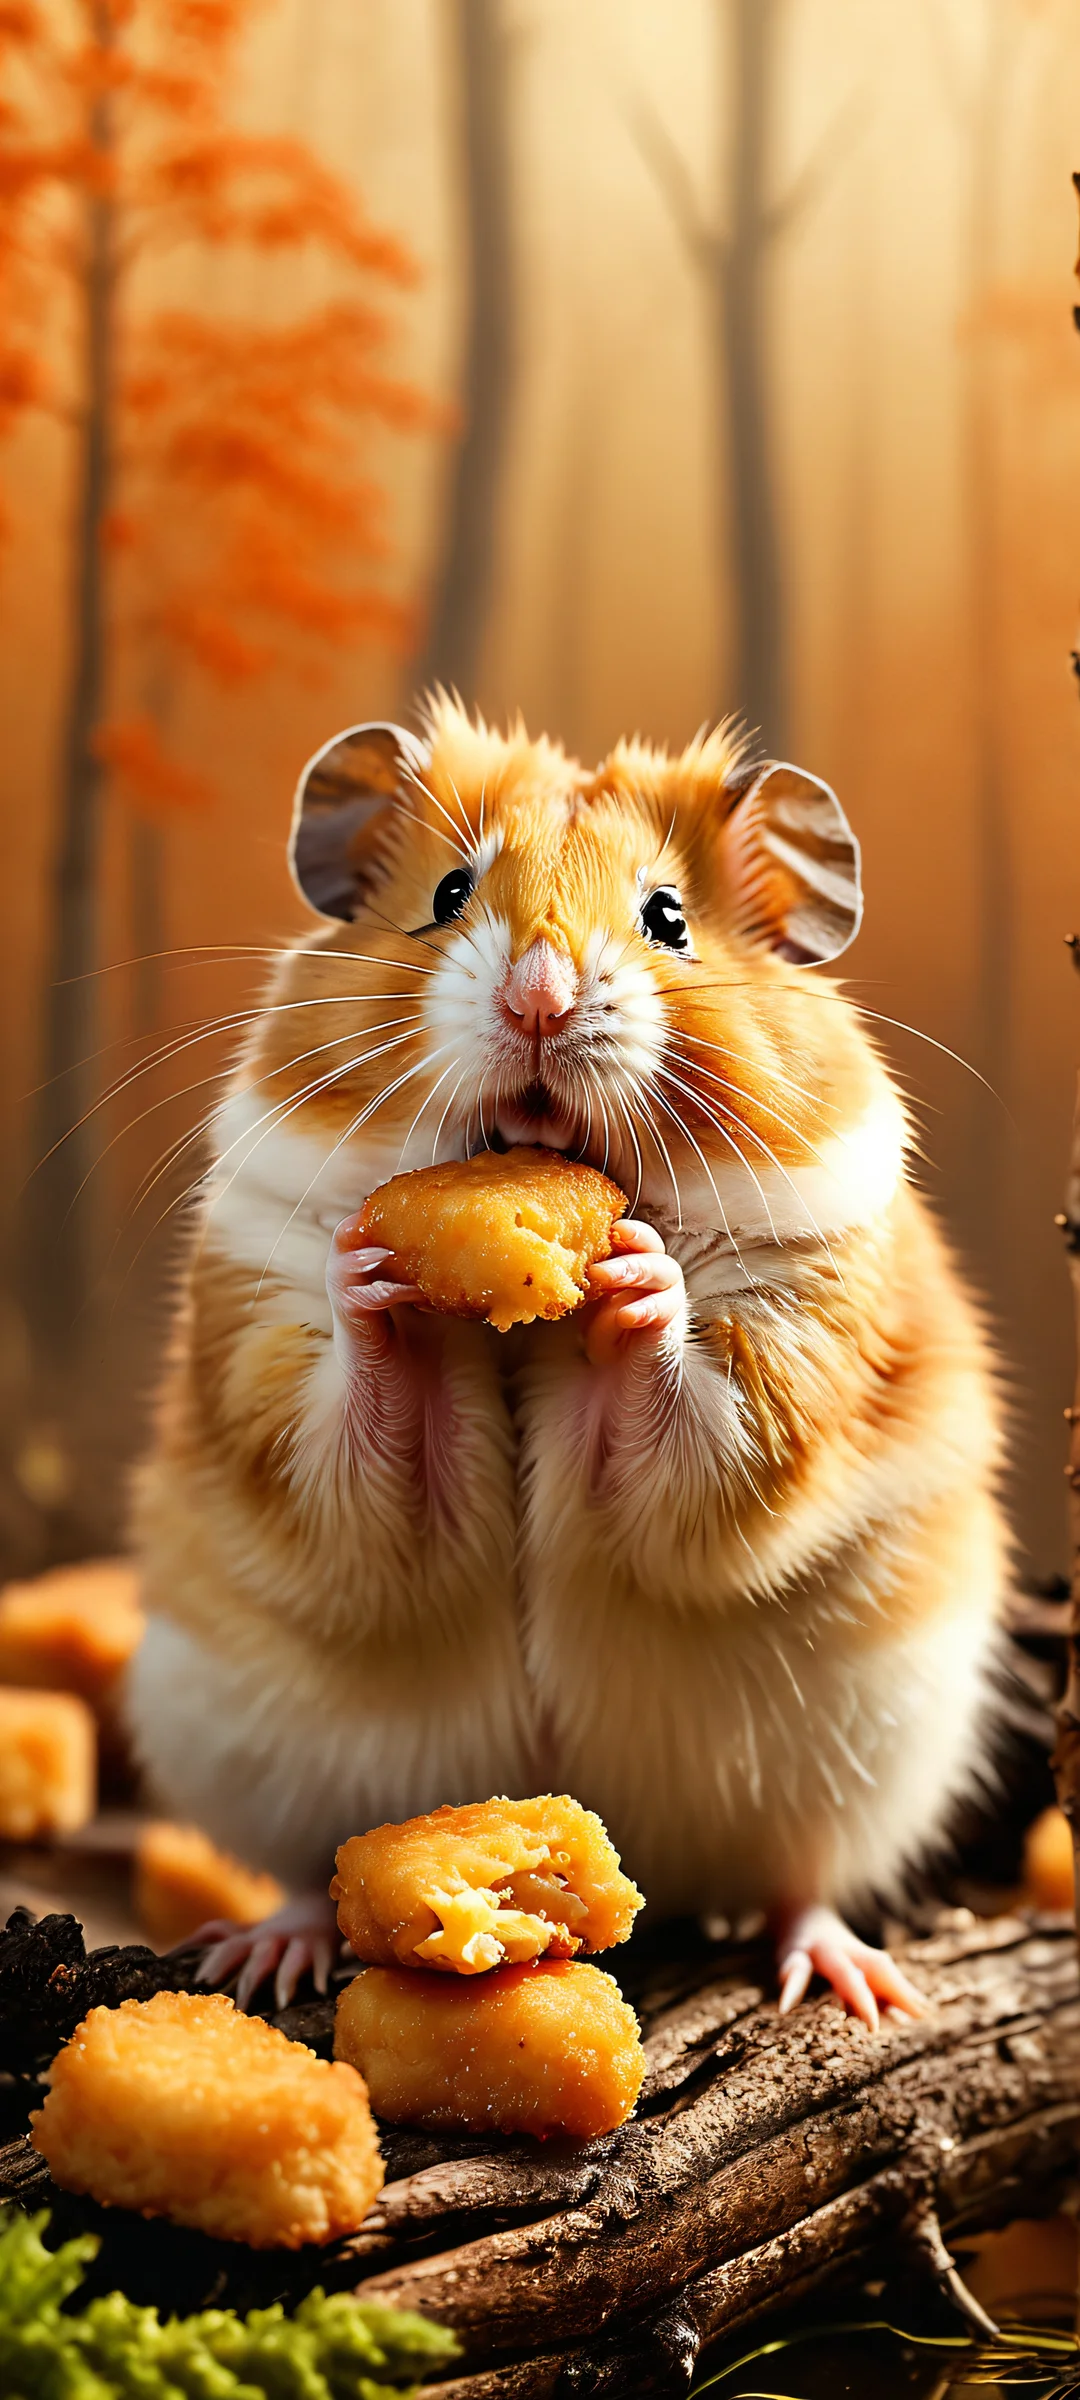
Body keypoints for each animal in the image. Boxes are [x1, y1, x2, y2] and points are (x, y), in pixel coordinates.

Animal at [128, 696, 1006, 2021]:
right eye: (448, 892)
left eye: (669, 918)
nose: (539, 996)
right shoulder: (264, 1344)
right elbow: (366, 1440)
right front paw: (374, 1276)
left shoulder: (796, 1355)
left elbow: (690, 1437)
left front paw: (640, 1275)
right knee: (298, 1876)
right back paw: (265, 1954)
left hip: (870, 1751)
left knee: (802, 1877)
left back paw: (851, 1982)